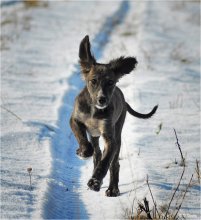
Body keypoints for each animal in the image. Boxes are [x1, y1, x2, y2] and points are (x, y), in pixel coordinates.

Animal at [70, 35, 158, 197]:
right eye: (93, 81)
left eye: (110, 82)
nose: (102, 99)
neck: (94, 110)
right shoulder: (75, 119)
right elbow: (81, 138)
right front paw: (83, 151)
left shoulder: (110, 137)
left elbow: (106, 163)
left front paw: (95, 182)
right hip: (95, 135)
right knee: (97, 153)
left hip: (118, 131)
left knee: (113, 163)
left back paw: (112, 188)